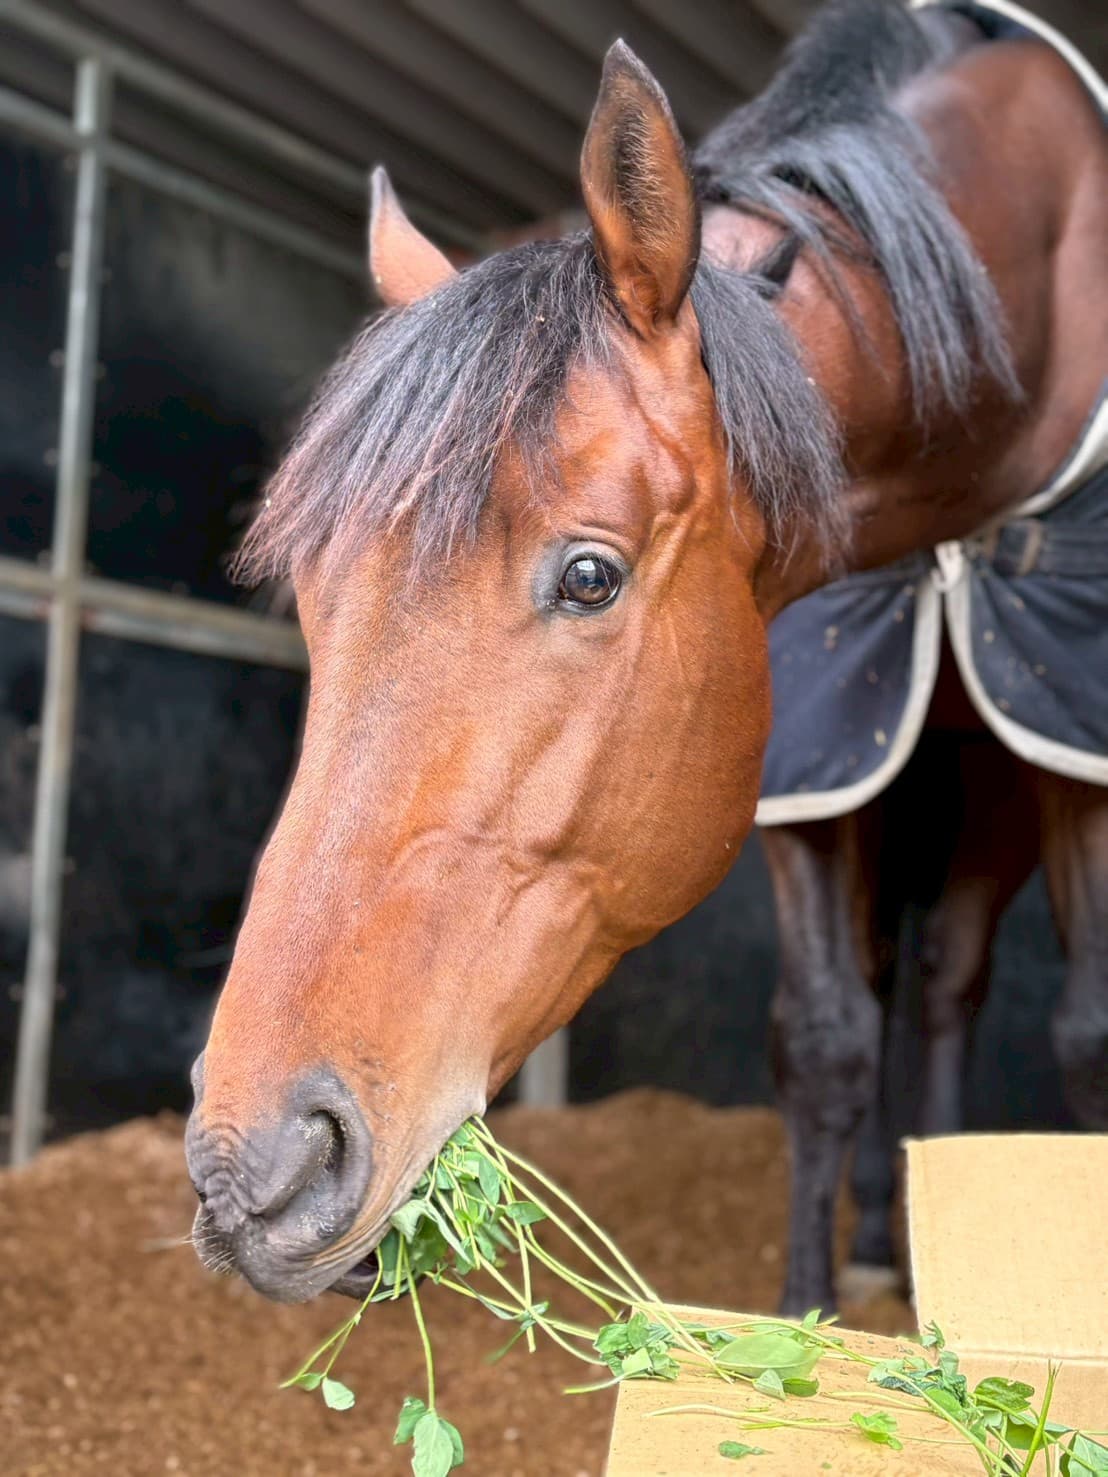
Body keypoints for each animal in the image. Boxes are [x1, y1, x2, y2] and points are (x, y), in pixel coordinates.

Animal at [185, 0, 1107, 1314]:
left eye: (589, 576)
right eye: (315, 599)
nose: (254, 1165)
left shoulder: (1071, 747)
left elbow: (1083, 1038)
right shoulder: (814, 754)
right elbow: (820, 1038)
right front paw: (806, 1314)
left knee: (946, 981)